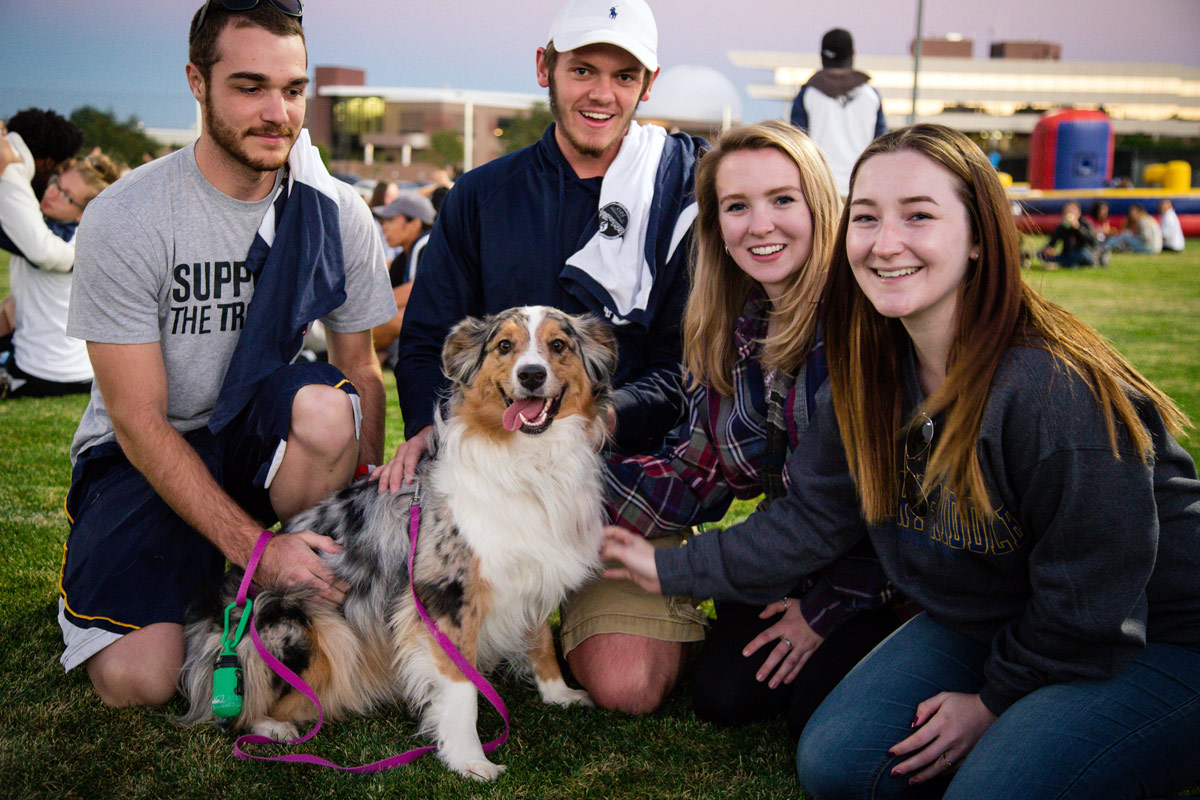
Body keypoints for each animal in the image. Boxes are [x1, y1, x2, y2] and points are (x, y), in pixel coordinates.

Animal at [182, 307, 624, 782]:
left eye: (558, 345)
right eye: (505, 346)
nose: (531, 374)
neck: (529, 461)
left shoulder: (534, 566)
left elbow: (540, 638)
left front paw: (559, 693)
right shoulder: (446, 595)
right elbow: (461, 688)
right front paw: (469, 759)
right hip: (296, 619)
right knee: (234, 708)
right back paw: (272, 727)